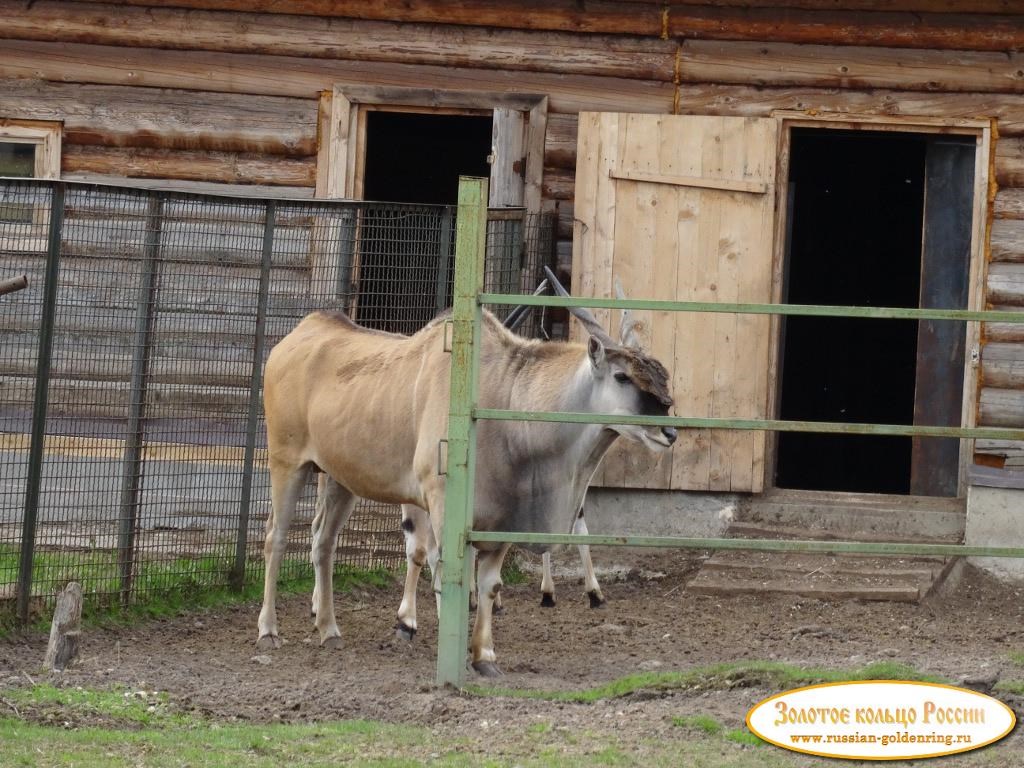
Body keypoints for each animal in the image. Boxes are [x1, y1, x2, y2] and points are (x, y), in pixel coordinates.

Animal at [256, 286, 671, 671]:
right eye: (622, 376)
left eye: (661, 376)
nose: (669, 431)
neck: (503, 392)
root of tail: (300, 333)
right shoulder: (439, 501)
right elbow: (443, 569)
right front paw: (433, 637)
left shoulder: (501, 518)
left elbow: (488, 584)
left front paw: (484, 655)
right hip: (287, 464)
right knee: (276, 536)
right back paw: (269, 630)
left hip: (339, 479)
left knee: (322, 542)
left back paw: (328, 629)